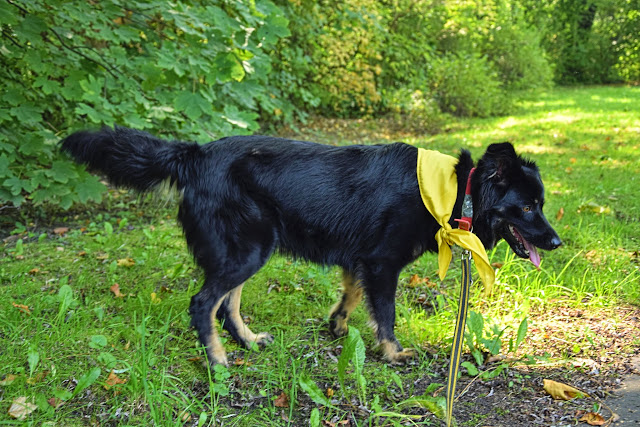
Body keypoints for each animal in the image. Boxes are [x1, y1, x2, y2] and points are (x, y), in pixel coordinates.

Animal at [61, 126, 562, 366]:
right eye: (528, 207)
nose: (556, 242)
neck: (459, 188)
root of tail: (196, 154)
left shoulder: (360, 259)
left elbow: (352, 295)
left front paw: (337, 325)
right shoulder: (382, 263)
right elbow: (386, 313)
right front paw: (392, 352)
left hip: (250, 250)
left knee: (226, 304)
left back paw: (246, 341)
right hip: (248, 250)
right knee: (204, 303)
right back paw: (218, 359)